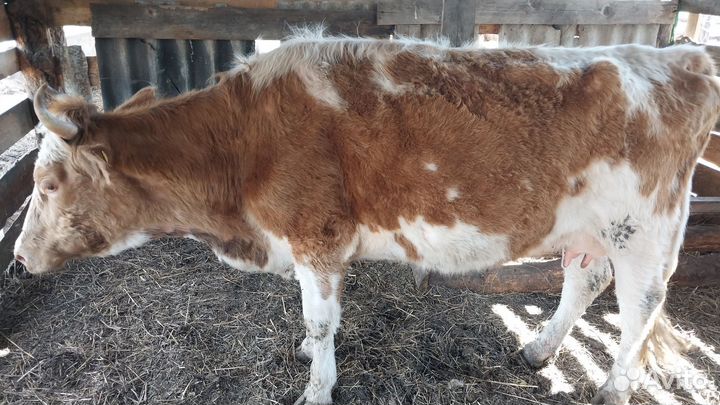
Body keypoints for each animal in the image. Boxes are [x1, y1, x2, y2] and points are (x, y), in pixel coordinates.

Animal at [13, 31, 720, 405]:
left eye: (47, 182)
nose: (18, 258)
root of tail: (678, 56)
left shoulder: (317, 235)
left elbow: (321, 320)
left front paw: (316, 385)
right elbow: (314, 318)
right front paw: (308, 358)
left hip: (646, 233)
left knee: (638, 310)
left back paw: (612, 388)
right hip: (591, 232)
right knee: (583, 281)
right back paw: (540, 348)